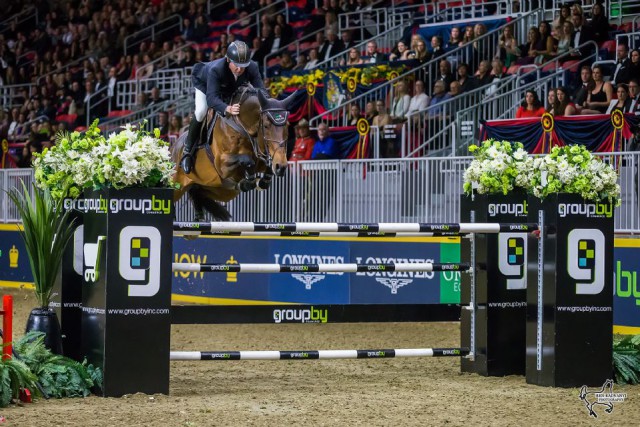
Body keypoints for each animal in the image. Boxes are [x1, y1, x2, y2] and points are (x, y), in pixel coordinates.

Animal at [170, 85, 300, 222]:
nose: (281, 166)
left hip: (219, 190)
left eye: (286, 126)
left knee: (198, 193)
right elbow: (247, 160)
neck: (242, 127)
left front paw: (260, 180)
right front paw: (248, 181)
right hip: (176, 184)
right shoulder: (222, 165)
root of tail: (173, 147)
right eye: (266, 126)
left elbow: (266, 167)